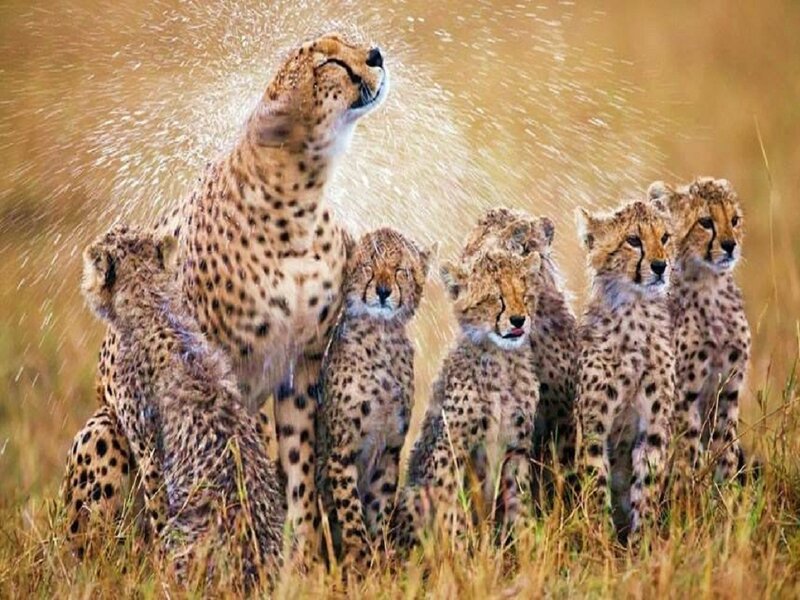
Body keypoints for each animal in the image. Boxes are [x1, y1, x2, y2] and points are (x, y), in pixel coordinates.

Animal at [315, 227, 431, 569]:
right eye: (368, 266)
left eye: (399, 270)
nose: (382, 291)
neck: (380, 338)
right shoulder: (342, 451)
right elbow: (350, 508)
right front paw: (360, 556)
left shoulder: (390, 449)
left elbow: (380, 504)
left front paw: (379, 556)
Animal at [393, 247, 543, 548]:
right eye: (495, 296)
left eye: (524, 294)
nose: (519, 320)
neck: (501, 359)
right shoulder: (451, 449)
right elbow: (453, 507)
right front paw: (462, 549)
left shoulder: (516, 448)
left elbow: (519, 503)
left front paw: (528, 547)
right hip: (415, 493)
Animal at [575, 198, 676, 539]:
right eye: (633, 240)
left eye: (665, 237)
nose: (660, 266)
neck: (635, 309)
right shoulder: (593, 426)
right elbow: (595, 480)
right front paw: (598, 542)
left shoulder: (653, 427)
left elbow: (647, 483)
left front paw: (643, 541)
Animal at [648, 177, 751, 484]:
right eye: (705, 222)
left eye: (734, 220)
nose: (730, 245)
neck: (711, 285)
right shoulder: (684, 394)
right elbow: (687, 448)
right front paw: (689, 492)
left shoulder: (729, 389)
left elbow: (725, 447)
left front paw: (725, 492)